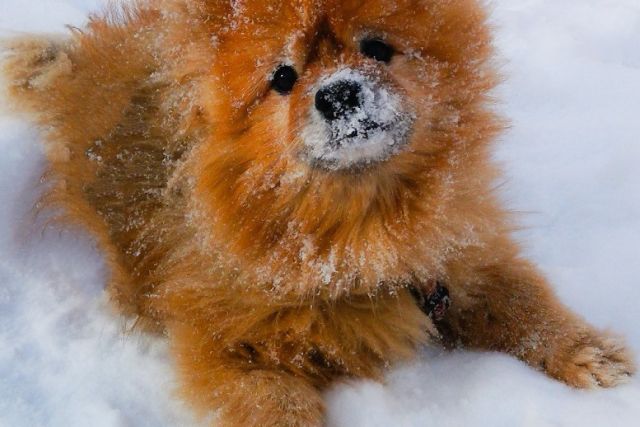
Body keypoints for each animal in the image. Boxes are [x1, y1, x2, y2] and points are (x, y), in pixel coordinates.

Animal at [3, 0, 636, 426]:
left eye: (377, 47)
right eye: (283, 77)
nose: (337, 93)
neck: (359, 228)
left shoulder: (460, 260)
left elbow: (527, 305)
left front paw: (589, 353)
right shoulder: (224, 344)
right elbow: (277, 402)